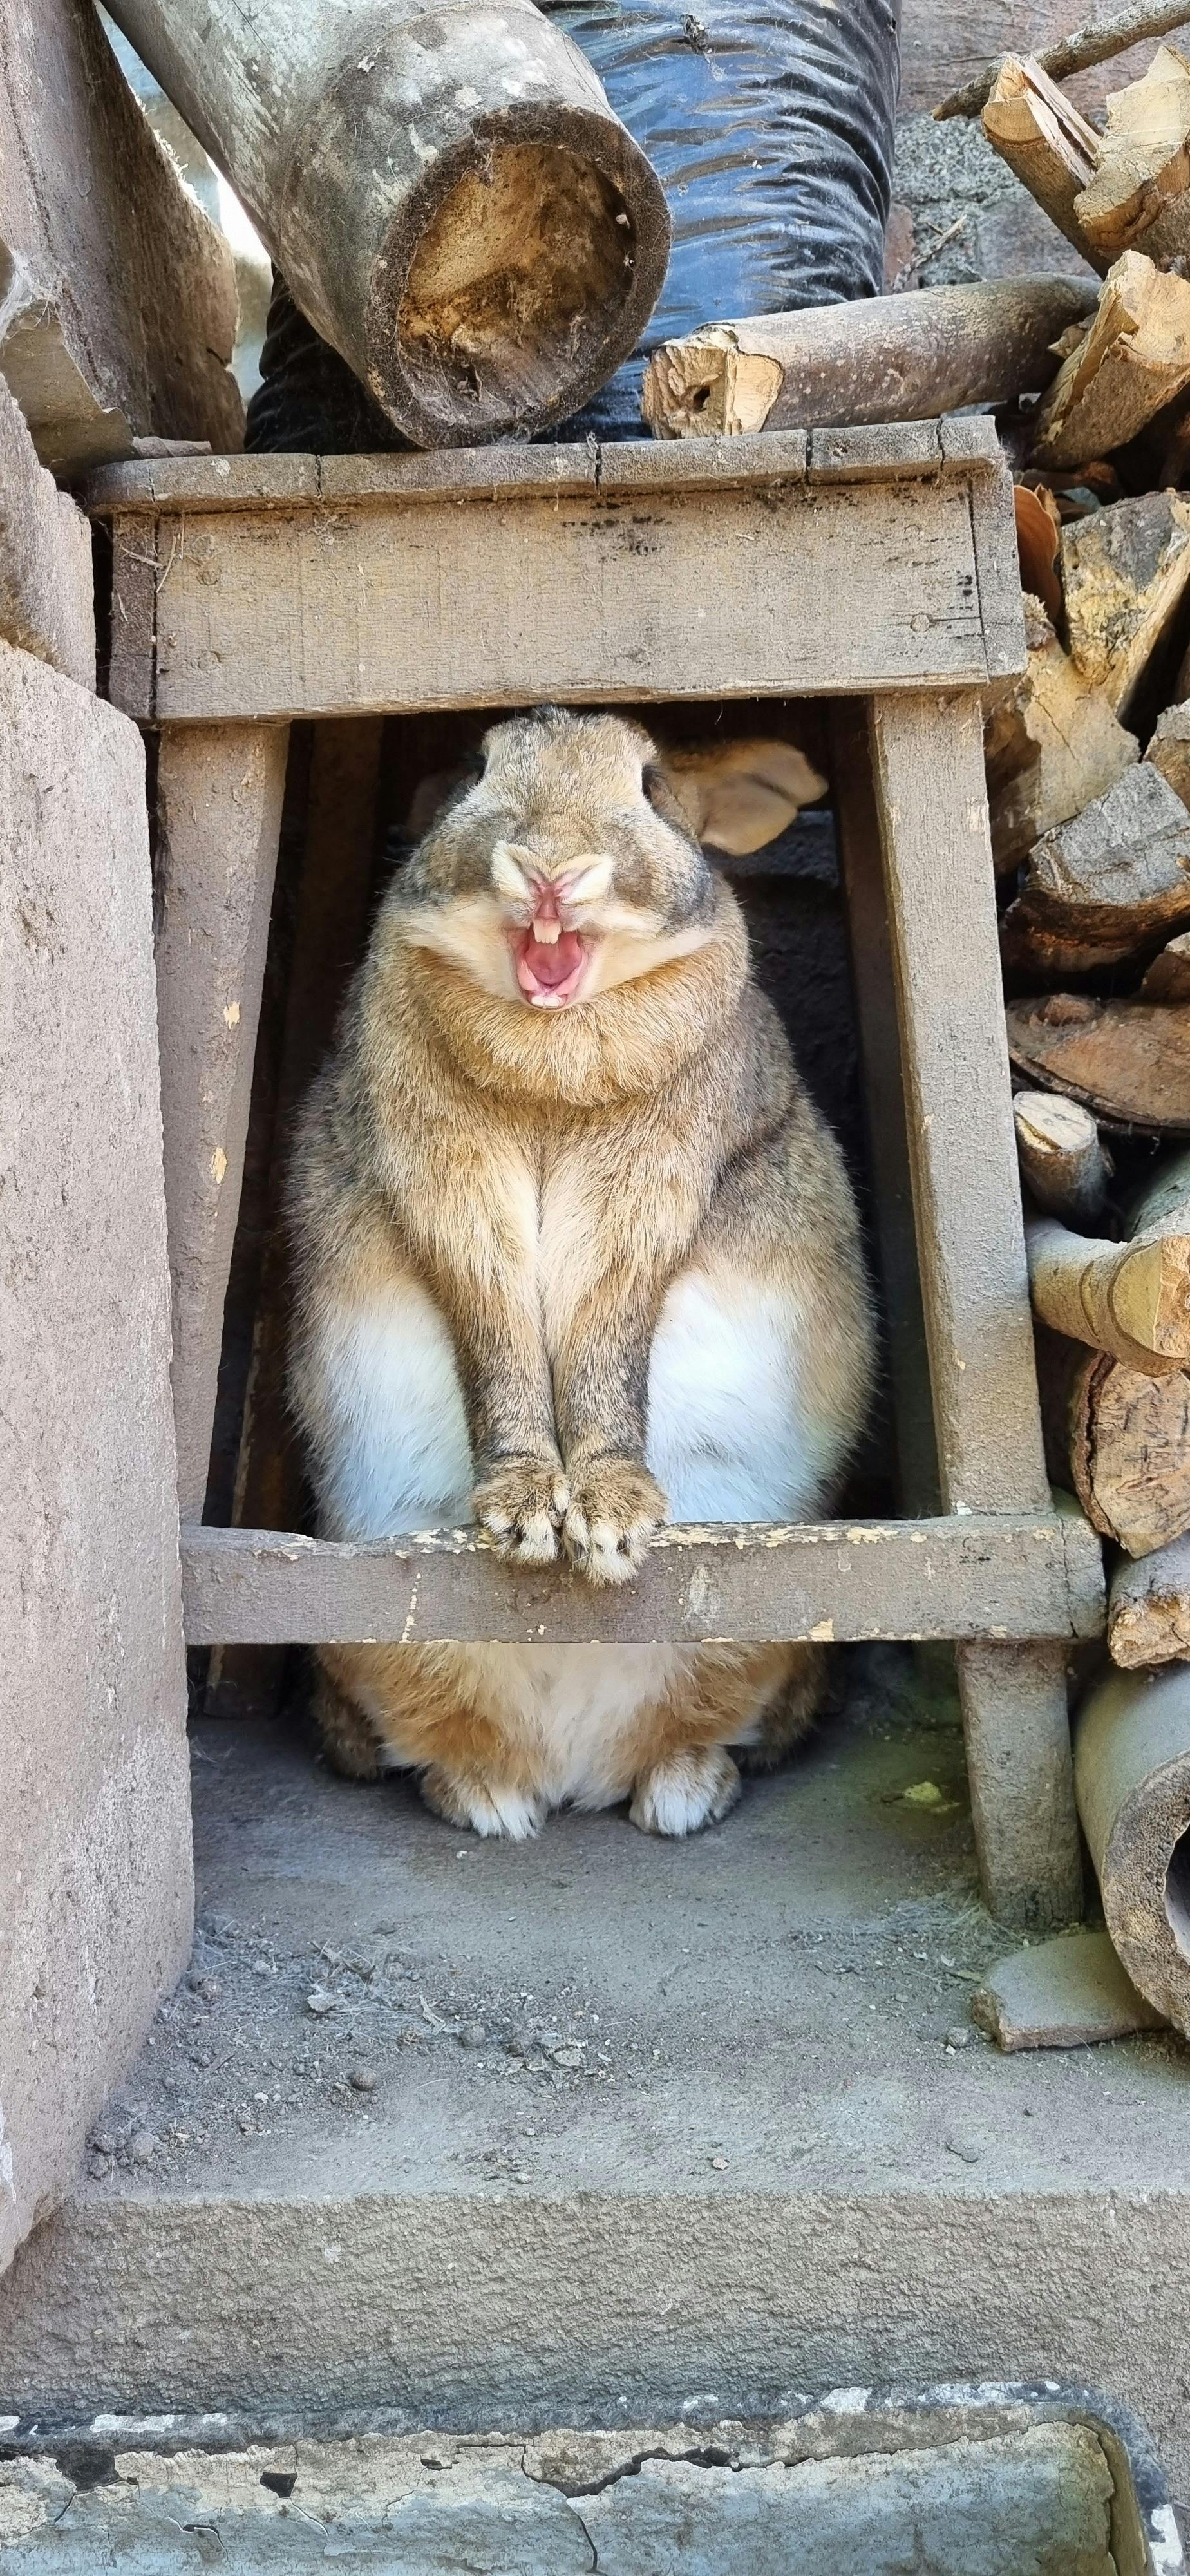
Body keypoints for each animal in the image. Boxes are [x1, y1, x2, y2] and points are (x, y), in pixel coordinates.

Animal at [285, 706, 871, 1834]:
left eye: (649, 786)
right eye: (477, 770)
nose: (551, 871)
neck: (550, 1047)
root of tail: (572, 1761)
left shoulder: (648, 1212)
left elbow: (606, 1346)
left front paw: (607, 1522)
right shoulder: (451, 1206)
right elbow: (500, 1338)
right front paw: (521, 1514)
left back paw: (679, 1791)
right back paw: (491, 1797)